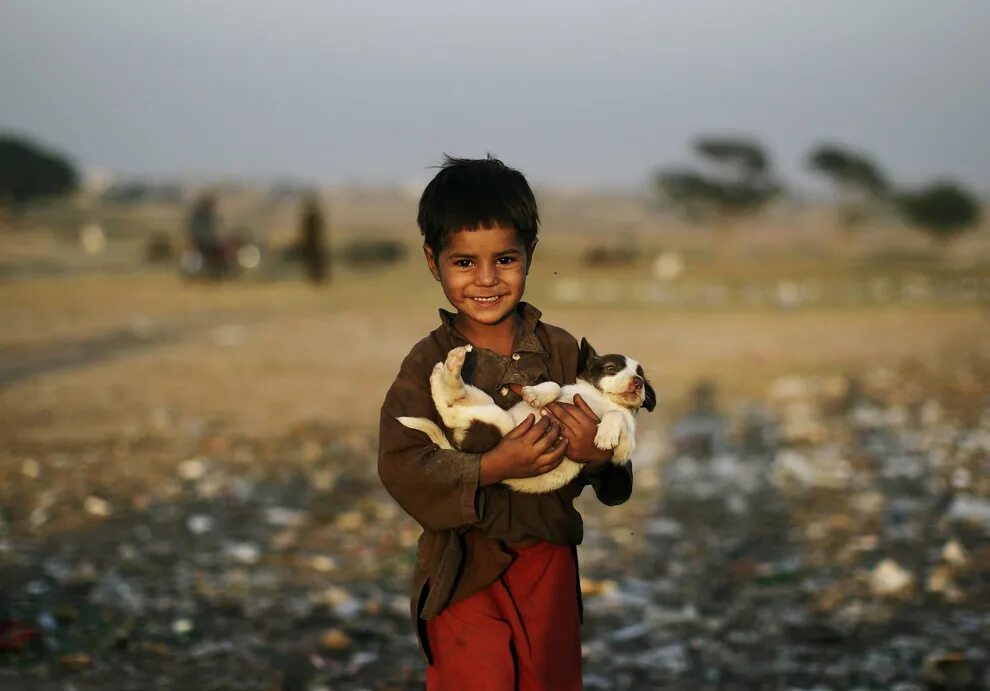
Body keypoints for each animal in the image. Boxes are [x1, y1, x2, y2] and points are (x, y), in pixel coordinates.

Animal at [396, 340, 660, 492]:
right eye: (611, 369)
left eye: (641, 376)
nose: (638, 383)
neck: (602, 398)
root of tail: (462, 448)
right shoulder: (567, 389)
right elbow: (554, 385)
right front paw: (536, 394)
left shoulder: (624, 449)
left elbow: (616, 416)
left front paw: (604, 435)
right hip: (489, 405)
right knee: (452, 401)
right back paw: (443, 369)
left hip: (493, 419)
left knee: (451, 409)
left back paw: (447, 369)